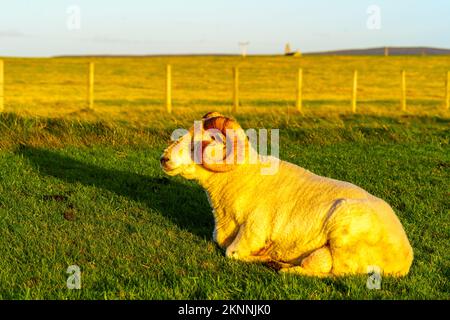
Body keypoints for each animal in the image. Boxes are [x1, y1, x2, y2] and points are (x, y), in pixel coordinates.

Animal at [160, 112, 414, 278]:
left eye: (202, 141)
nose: (164, 158)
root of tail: (406, 255)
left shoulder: (253, 233)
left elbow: (232, 253)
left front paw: (266, 257)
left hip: (344, 239)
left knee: (336, 273)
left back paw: (283, 267)